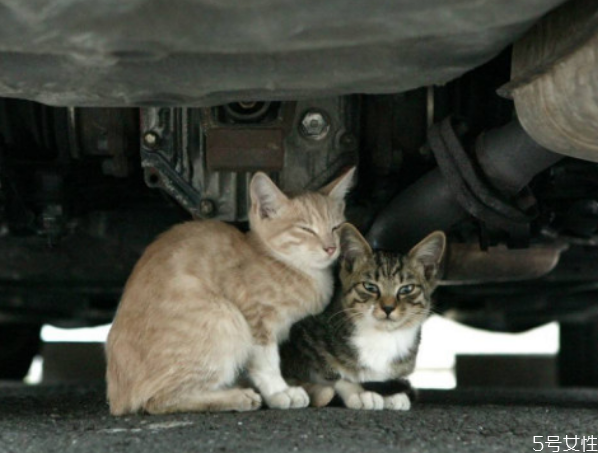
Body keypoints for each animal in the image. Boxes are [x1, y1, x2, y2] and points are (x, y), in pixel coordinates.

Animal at [106, 169, 356, 414]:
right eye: (306, 229)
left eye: (335, 227)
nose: (330, 248)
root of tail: (116, 398)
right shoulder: (256, 320)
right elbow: (267, 361)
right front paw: (278, 391)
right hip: (225, 318)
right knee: (157, 401)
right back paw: (236, 397)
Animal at [282, 225, 446, 410]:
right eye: (370, 287)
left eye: (406, 289)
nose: (388, 308)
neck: (382, 337)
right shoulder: (299, 344)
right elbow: (332, 375)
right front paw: (358, 391)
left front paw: (394, 394)